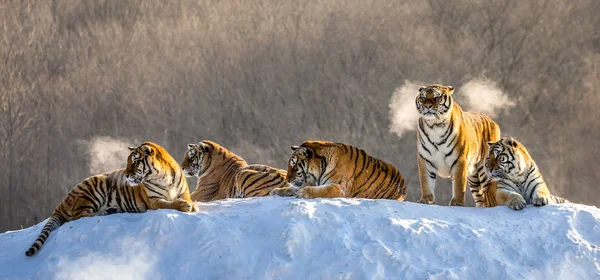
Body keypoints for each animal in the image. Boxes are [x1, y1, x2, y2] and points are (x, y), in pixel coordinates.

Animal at [25, 141, 196, 258]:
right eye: (127, 162)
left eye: (135, 162)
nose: (126, 175)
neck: (163, 177)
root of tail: (61, 203)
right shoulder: (154, 201)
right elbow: (169, 204)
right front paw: (184, 206)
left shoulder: (183, 191)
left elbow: (186, 198)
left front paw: (191, 205)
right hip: (94, 188)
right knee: (78, 216)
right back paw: (106, 212)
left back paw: (112, 209)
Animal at [270, 141, 408, 200]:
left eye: (294, 166)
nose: (288, 179)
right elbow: (292, 188)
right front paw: (276, 191)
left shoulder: (341, 187)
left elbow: (322, 190)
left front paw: (303, 193)